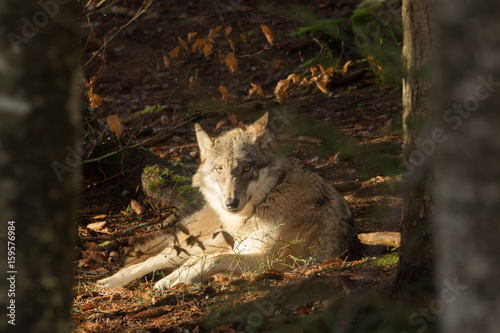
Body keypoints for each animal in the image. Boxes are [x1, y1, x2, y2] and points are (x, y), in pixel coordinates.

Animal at [96, 113, 352, 290]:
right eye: (220, 169)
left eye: (246, 168)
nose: (231, 203)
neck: (265, 202)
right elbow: (205, 260)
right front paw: (173, 280)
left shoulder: (276, 261)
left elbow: (209, 261)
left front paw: (177, 279)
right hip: (199, 242)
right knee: (154, 259)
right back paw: (110, 281)